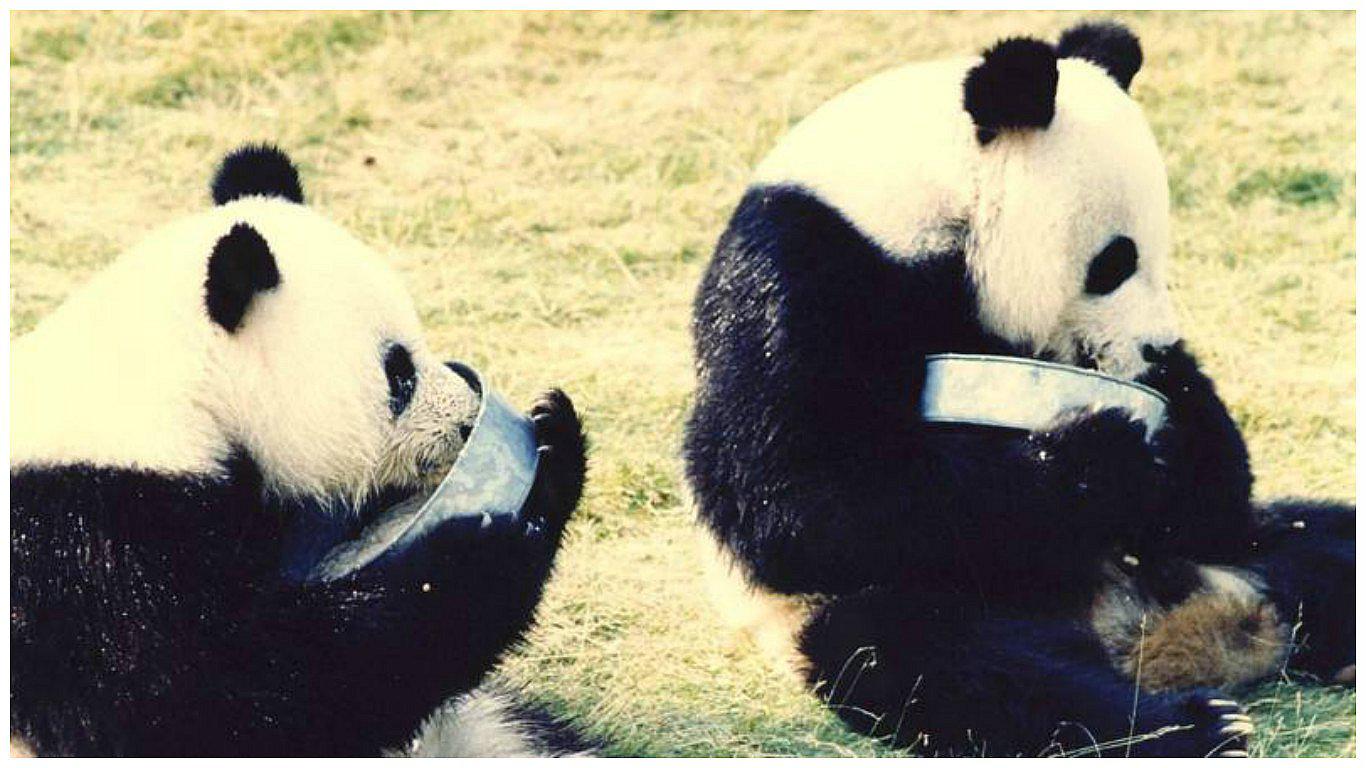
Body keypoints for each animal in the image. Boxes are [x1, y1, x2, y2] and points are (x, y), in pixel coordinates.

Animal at [11, 145, 595, 757]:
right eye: (399, 373)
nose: (466, 417)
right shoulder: (88, 549)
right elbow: (224, 698)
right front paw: (474, 559)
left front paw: (553, 441)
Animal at [685, 22, 1354, 758]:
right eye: (1115, 262)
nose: (1154, 347)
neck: (924, 200)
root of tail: (1163, 634)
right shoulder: (812, 270)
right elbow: (797, 493)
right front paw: (1097, 460)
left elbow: (1215, 481)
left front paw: (1172, 442)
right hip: (866, 603)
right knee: (949, 662)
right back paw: (1187, 725)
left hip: (1245, 549)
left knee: (1319, 543)